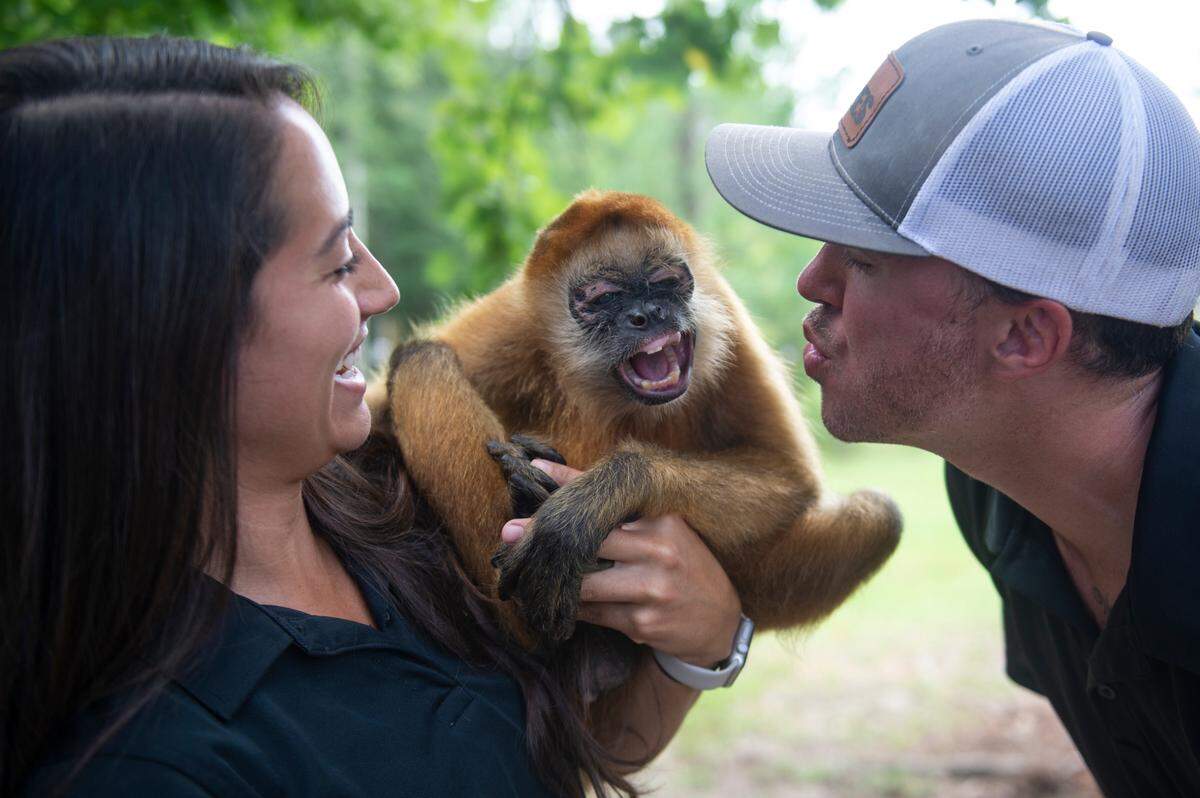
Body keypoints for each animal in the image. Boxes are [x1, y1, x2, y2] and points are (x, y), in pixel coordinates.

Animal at [373, 189, 901, 661]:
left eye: (667, 281)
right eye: (604, 298)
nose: (647, 314)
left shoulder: (723, 308)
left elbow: (790, 479)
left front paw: (603, 495)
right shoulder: (514, 320)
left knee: (881, 516)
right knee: (421, 358)